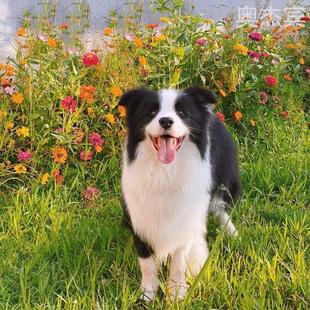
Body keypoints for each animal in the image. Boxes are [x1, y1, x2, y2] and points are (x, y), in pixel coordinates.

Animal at [117, 86, 241, 300]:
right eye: (151, 112)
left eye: (182, 113)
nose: (166, 121)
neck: (164, 172)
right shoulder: (139, 219)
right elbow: (147, 263)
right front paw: (148, 294)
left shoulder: (184, 220)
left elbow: (179, 262)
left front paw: (175, 295)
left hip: (225, 180)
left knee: (220, 207)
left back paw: (230, 231)